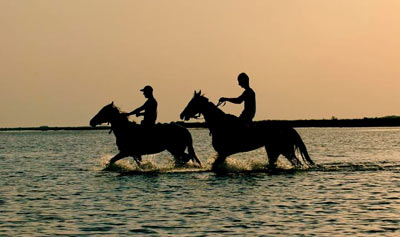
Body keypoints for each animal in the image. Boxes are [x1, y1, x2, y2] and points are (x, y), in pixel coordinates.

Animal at [180, 90, 314, 170]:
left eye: (193, 102)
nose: (182, 114)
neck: (220, 124)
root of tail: (290, 129)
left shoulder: (224, 152)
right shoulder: (223, 153)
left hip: (285, 150)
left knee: (297, 163)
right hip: (274, 151)